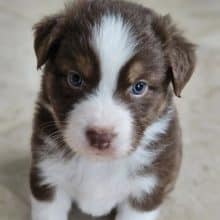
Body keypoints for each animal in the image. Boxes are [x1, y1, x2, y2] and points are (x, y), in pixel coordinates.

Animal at [29, 0, 196, 220]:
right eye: (75, 78)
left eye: (139, 87)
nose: (100, 137)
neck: (99, 165)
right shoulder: (48, 176)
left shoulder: (144, 192)